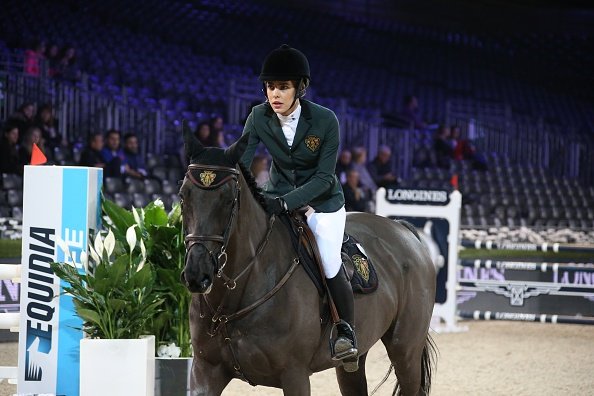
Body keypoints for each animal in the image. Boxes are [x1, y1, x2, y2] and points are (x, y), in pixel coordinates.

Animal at [179, 128, 434, 394]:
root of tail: (404, 230)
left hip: (405, 352)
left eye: (229, 200)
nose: (197, 275)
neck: (233, 298)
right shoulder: (205, 372)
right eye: (183, 196)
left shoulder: (295, 374)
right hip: (354, 360)